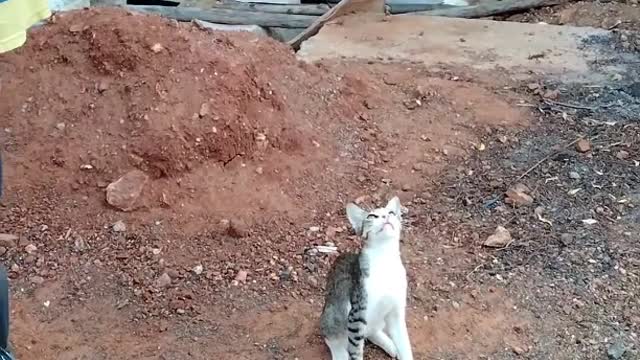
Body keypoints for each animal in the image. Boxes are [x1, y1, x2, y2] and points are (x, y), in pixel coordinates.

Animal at [320, 197, 416, 360]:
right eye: (372, 216)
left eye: (391, 212)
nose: (385, 216)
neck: (384, 258)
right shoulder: (357, 313)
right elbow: (356, 350)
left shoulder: (396, 311)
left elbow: (404, 344)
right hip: (334, 313)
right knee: (333, 337)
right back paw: (340, 353)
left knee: (372, 331)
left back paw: (389, 345)